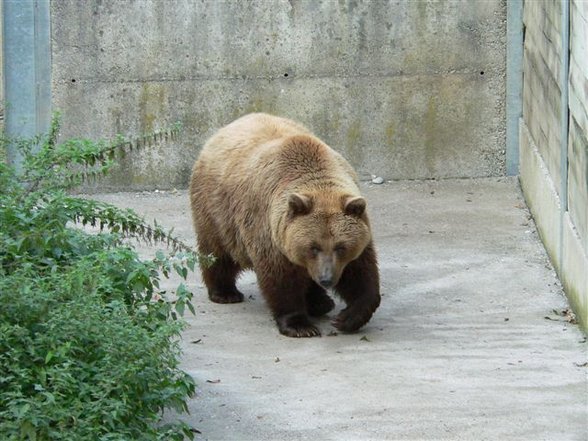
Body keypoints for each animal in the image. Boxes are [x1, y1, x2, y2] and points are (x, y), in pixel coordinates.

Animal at [189, 113, 382, 336]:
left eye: (341, 247)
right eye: (313, 247)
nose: (326, 278)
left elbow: (361, 273)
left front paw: (347, 318)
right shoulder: (270, 231)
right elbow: (281, 279)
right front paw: (300, 326)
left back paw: (320, 302)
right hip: (216, 211)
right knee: (217, 251)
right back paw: (225, 293)